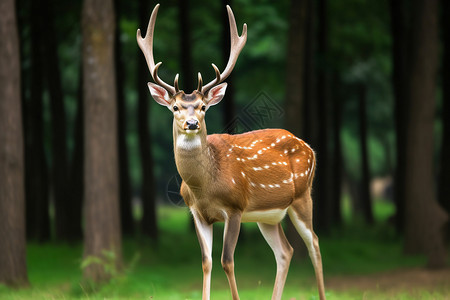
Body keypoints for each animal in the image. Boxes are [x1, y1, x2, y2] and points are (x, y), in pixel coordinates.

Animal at [137, 4, 326, 300]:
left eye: (203, 107)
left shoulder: (235, 207)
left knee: (314, 244)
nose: (192, 123)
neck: (204, 187)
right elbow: (206, 261)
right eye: (176, 107)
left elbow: (227, 260)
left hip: (303, 195)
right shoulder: (197, 213)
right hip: (268, 215)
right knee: (286, 251)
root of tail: (310, 148)